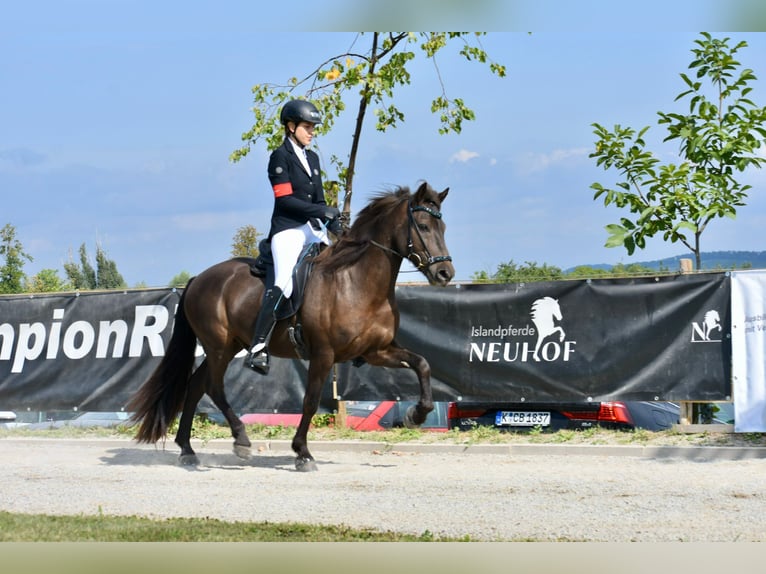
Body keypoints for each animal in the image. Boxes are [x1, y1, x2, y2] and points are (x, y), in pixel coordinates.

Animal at [127, 181, 454, 471]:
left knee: (196, 386)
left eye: (443, 228)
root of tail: (198, 279)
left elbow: (422, 364)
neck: (356, 281)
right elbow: (310, 401)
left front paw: (416, 415)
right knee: (213, 387)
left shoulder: (377, 351)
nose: (445, 273)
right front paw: (303, 453)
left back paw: (187, 450)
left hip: (228, 346)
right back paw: (241, 440)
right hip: (218, 346)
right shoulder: (323, 354)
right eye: (423, 226)